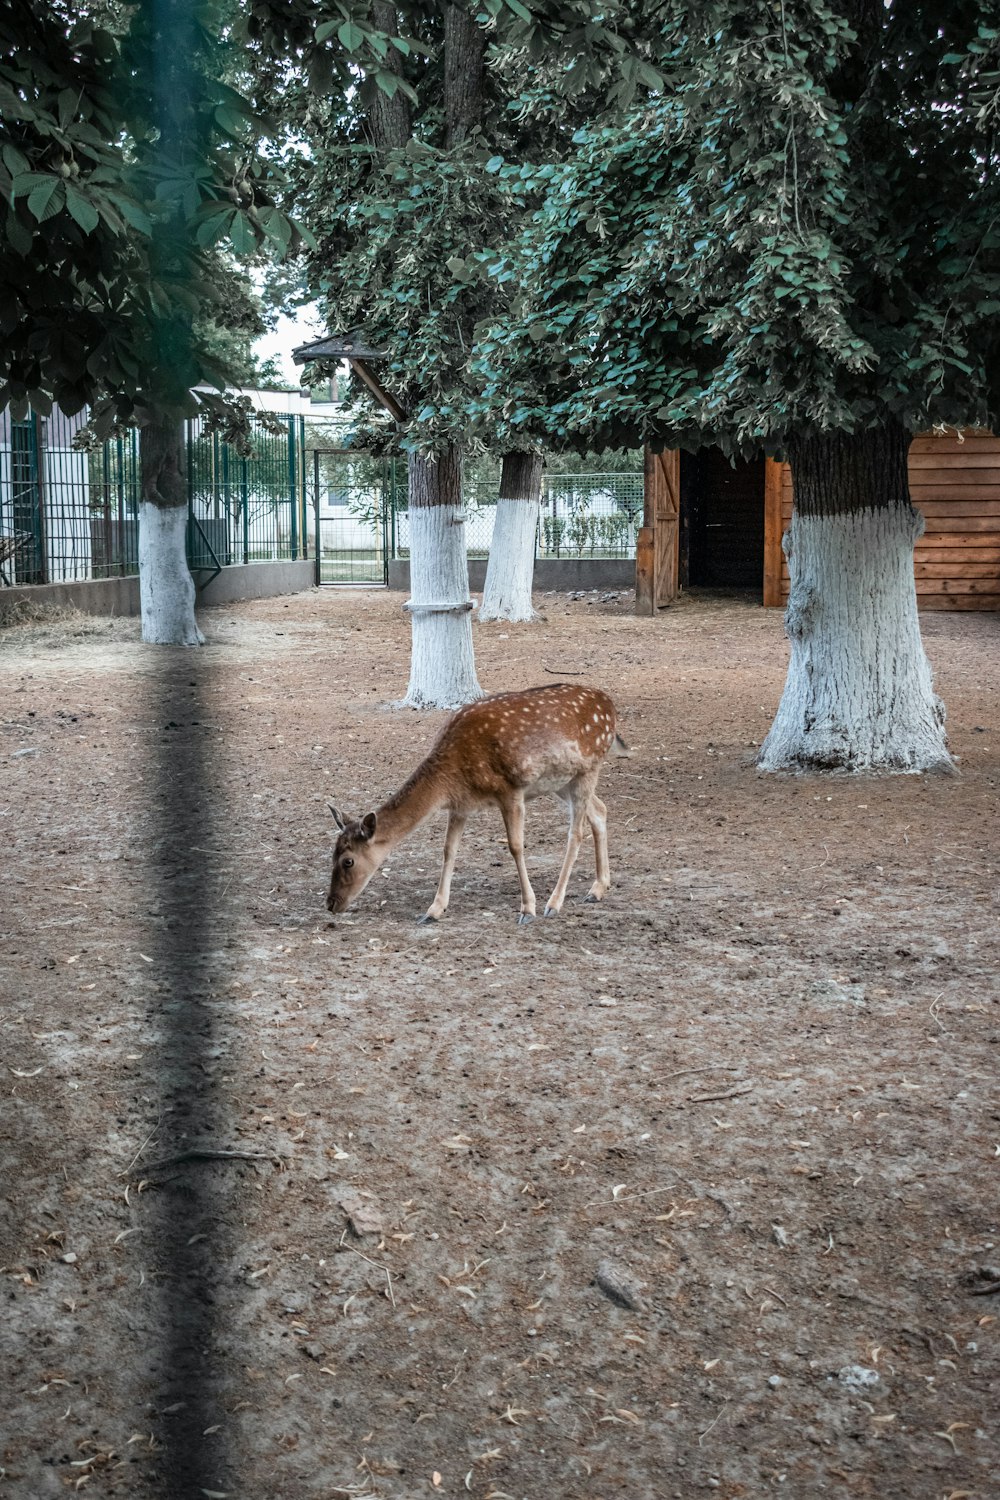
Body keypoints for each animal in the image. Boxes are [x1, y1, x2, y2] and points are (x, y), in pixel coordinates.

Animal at [328, 684, 626, 918]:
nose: (331, 904)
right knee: (600, 810)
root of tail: (610, 706)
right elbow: (448, 850)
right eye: (331, 854)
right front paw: (434, 910)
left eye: (348, 861)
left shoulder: (510, 790)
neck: (452, 777)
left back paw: (553, 903)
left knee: (576, 832)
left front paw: (527, 908)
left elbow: (515, 846)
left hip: (589, 767)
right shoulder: (461, 805)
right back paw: (598, 888)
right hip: (561, 782)